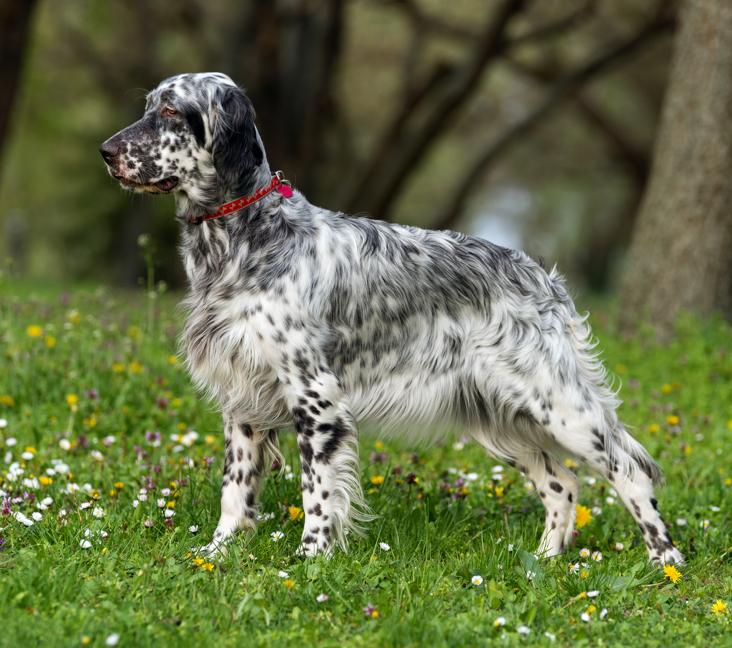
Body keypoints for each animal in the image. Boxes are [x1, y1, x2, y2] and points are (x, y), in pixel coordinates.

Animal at [100, 73, 684, 564]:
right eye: (148, 106)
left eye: (171, 110)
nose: (105, 152)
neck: (247, 239)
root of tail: (541, 275)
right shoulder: (242, 400)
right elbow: (235, 491)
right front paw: (217, 554)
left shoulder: (315, 398)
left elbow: (317, 492)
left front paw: (310, 560)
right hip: (499, 419)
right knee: (563, 485)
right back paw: (544, 561)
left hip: (559, 407)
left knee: (630, 470)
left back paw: (666, 562)